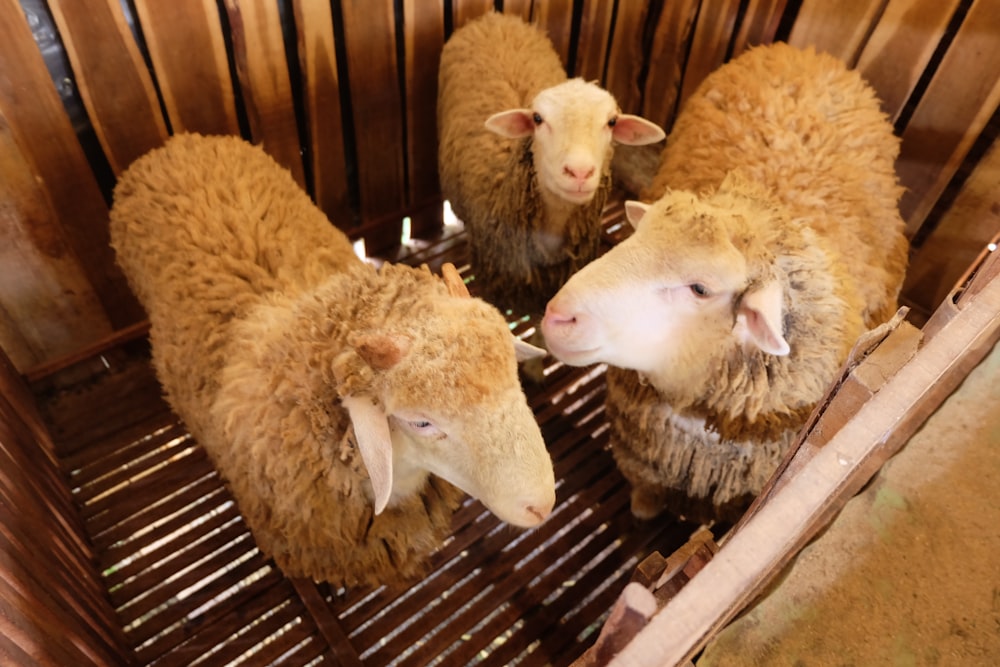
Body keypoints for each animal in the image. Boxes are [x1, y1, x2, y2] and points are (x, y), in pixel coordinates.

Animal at [544, 41, 912, 524]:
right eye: (638, 235)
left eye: (701, 289)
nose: (556, 318)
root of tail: (803, 52)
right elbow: (645, 496)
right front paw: (643, 511)